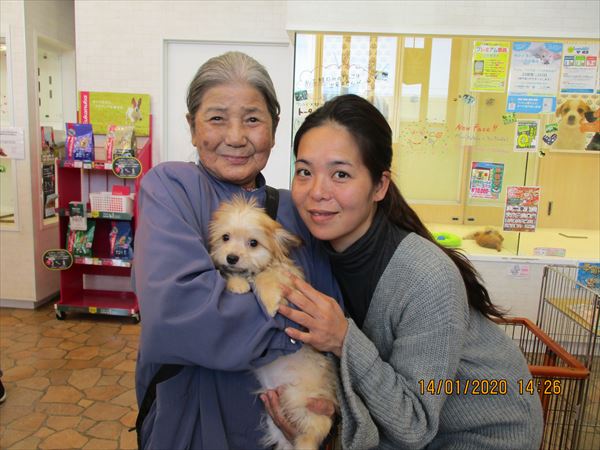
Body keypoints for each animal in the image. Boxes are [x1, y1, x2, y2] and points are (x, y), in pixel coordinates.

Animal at [209, 196, 338, 450]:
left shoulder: (291, 281)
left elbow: (266, 276)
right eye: (225, 237)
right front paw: (237, 284)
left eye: (253, 243)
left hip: (306, 403)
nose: (231, 257)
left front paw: (268, 302)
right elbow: (232, 275)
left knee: (314, 432)